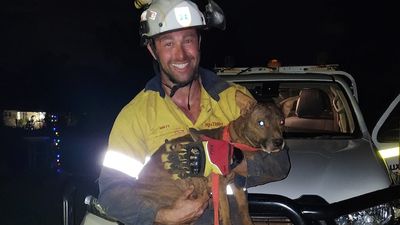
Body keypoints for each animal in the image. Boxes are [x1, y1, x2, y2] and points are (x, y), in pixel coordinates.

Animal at [136, 90, 286, 224]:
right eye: (261, 123)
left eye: (282, 122)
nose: (279, 142)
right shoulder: (220, 185)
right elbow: (226, 211)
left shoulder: (237, 184)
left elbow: (244, 209)